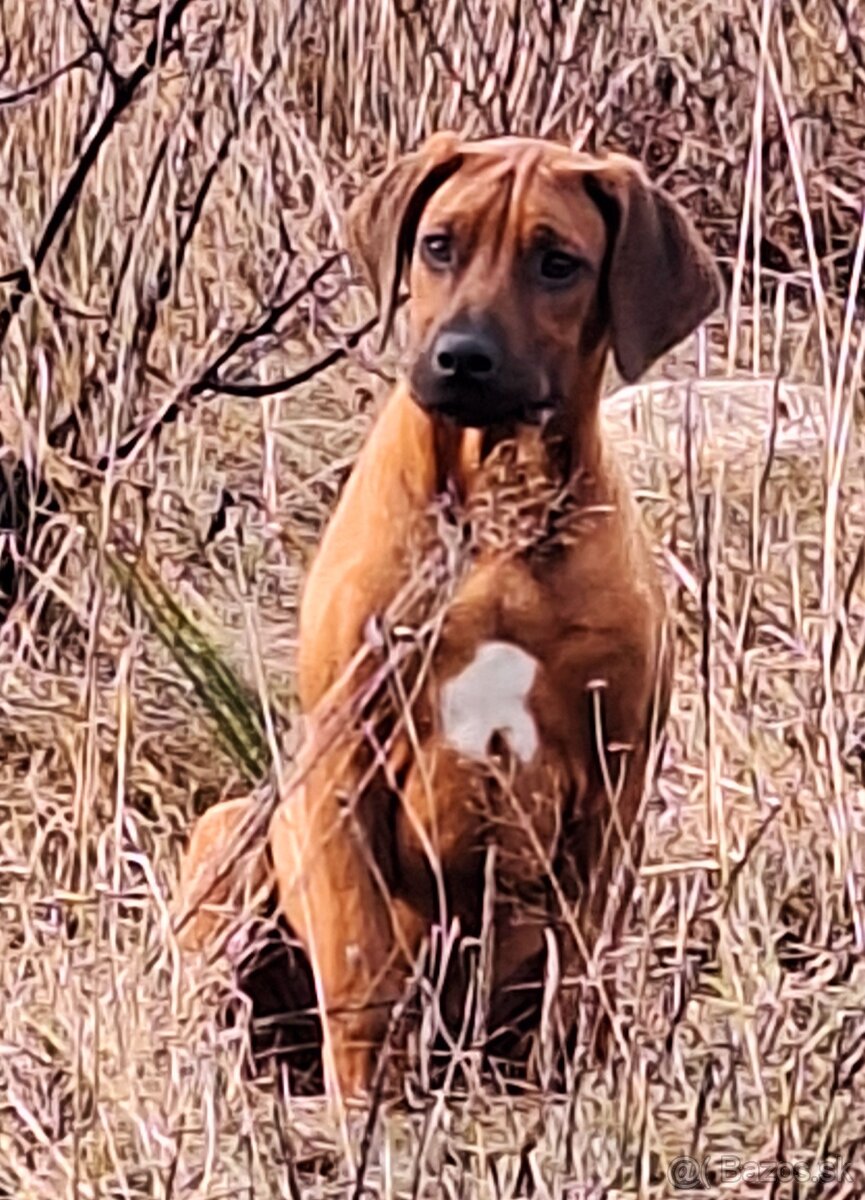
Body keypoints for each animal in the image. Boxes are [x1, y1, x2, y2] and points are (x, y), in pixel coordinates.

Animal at [173, 133, 715, 1104]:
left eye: (557, 263)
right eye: (437, 245)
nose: (462, 358)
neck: (499, 503)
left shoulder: (613, 784)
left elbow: (577, 968)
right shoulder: (344, 756)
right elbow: (360, 964)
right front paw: (364, 1108)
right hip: (230, 832)